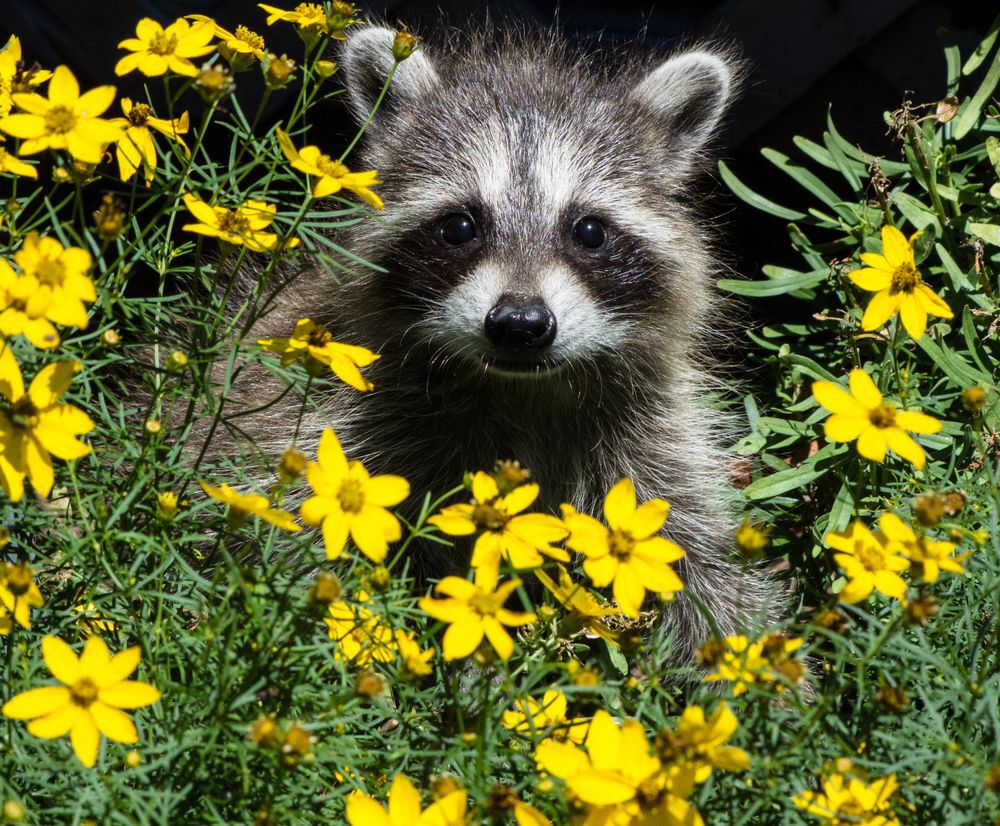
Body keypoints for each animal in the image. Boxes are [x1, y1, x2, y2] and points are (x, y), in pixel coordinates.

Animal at [224, 25, 776, 661]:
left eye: (589, 230)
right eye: (460, 226)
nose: (520, 323)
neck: (521, 389)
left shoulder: (648, 430)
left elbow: (688, 538)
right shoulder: (353, 419)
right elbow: (305, 525)